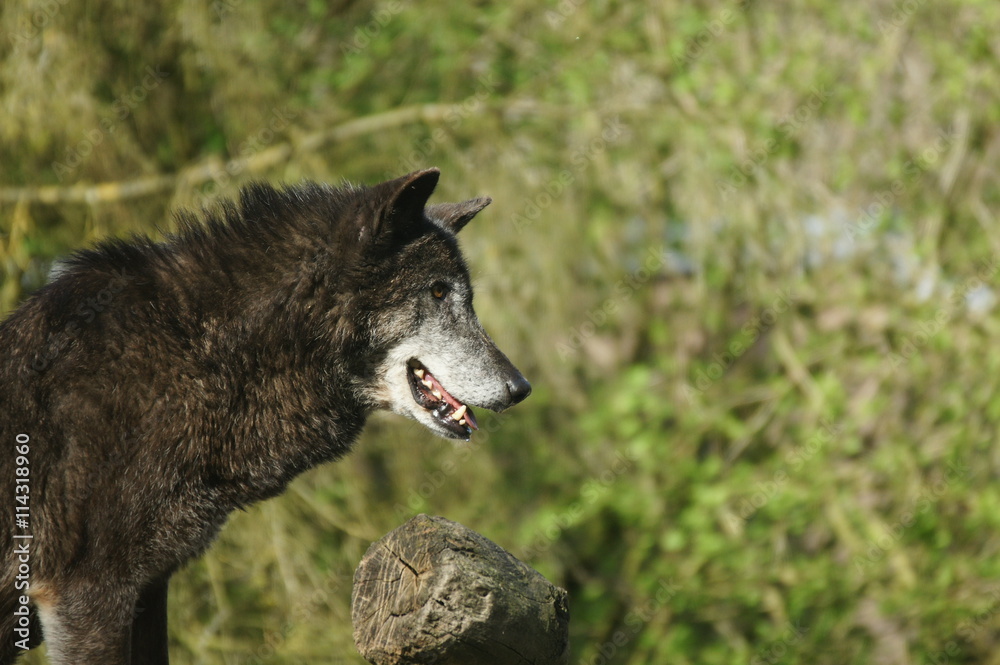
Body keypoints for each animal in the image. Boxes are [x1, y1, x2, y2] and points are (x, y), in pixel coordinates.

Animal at [0, 168, 531, 664]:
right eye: (438, 292)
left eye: (466, 297)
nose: (521, 388)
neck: (199, 352)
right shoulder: (88, 595)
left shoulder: (146, 590)